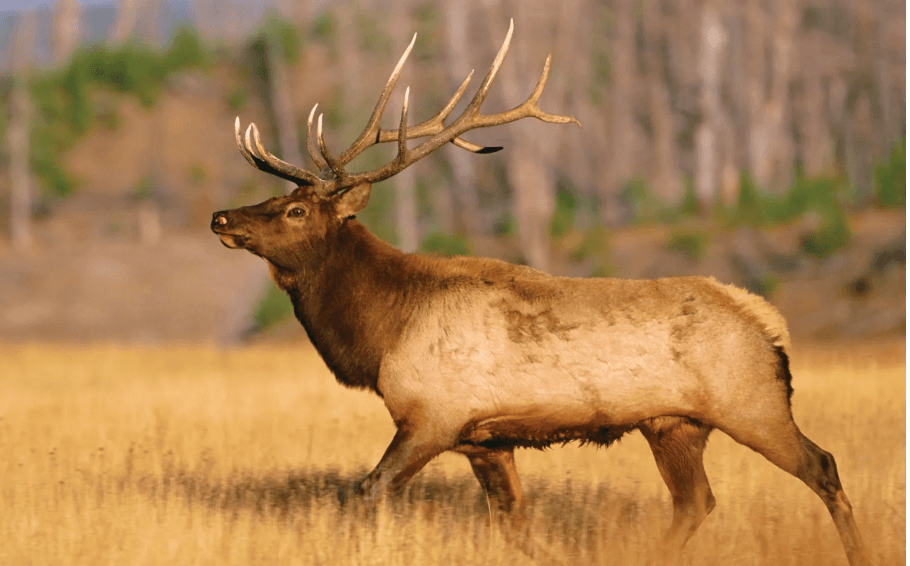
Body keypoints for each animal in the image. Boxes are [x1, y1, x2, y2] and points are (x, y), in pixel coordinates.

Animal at [211, 20, 869, 566]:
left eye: (295, 210)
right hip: (673, 424)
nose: (221, 217)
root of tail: (769, 322)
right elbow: (513, 523)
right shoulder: (484, 439)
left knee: (823, 465)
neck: (380, 333)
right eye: (275, 199)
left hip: (752, 403)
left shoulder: (433, 417)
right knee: (696, 502)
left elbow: (368, 491)